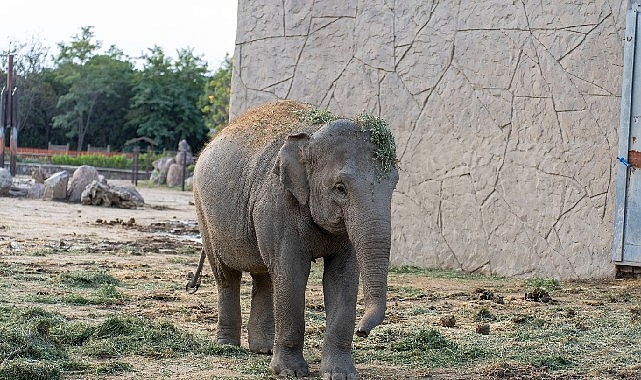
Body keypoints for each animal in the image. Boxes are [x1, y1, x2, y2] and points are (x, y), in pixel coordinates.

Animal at [188, 99, 398, 378]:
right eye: (340, 188)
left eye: (394, 184)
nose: (362, 332)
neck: (311, 135)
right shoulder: (278, 204)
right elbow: (292, 271)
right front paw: (290, 373)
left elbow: (342, 277)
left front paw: (340, 374)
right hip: (204, 213)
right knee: (226, 275)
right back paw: (227, 346)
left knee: (265, 275)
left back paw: (264, 348)